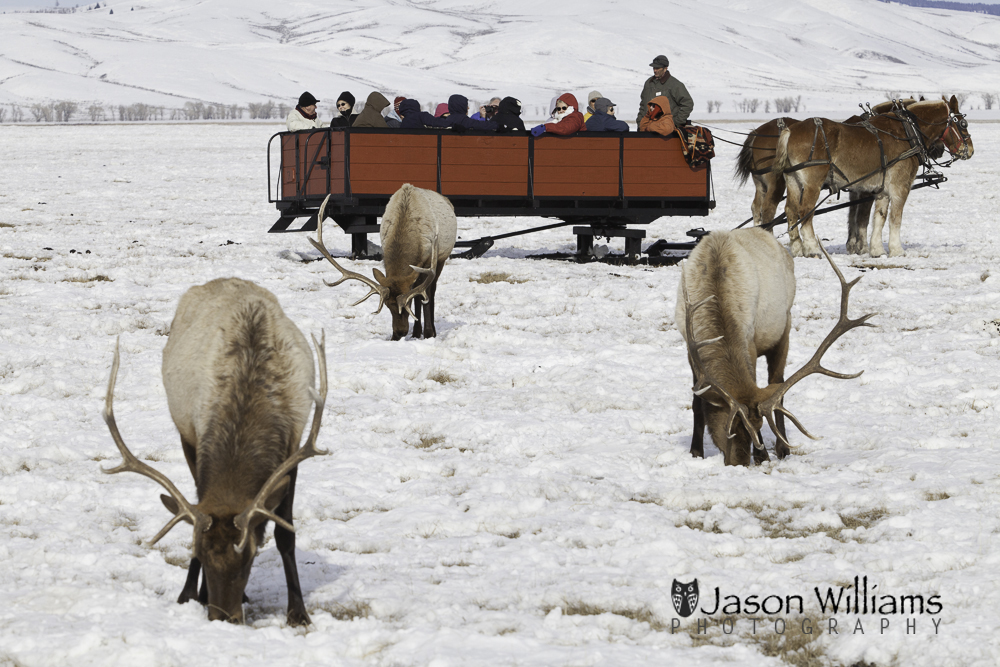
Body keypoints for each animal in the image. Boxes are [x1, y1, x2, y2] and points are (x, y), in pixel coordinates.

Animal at [103, 278, 326, 628]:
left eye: (250, 555)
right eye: (201, 554)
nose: (223, 617)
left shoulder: (294, 446)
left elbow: (285, 533)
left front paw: (298, 612)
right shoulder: (194, 435)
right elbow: (197, 510)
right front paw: (190, 594)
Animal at [308, 183, 458, 340]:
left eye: (407, 305)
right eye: (387, 305)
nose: (398, 333)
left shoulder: (429, 262)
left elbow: (425, 296)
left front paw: (429, 334)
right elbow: (417, 295)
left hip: (441, 259)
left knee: (430, 291)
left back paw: (430, 330)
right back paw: (417, 332)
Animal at [676, 228, 872, 464]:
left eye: (759, 426)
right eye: (728, 428)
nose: (740, 463)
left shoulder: (750, 343)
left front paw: (762, 455)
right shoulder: (690, 347)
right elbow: (697, 401)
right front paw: (696, 451)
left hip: (784, 327)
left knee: (778, 385)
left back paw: (782, 448)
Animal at [768, 96, 972, 258]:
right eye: (963, 124)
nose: (969, 150)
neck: (909, 132)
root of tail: (790, 131)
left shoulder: (881, 189)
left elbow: (878, 218)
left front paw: (877, 250)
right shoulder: (900, 187)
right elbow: (894, 218)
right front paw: (897, 250)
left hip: (793, 180)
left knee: (791, 211)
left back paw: (796, 249)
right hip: (812, 183)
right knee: (805, 211)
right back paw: (812, 249)